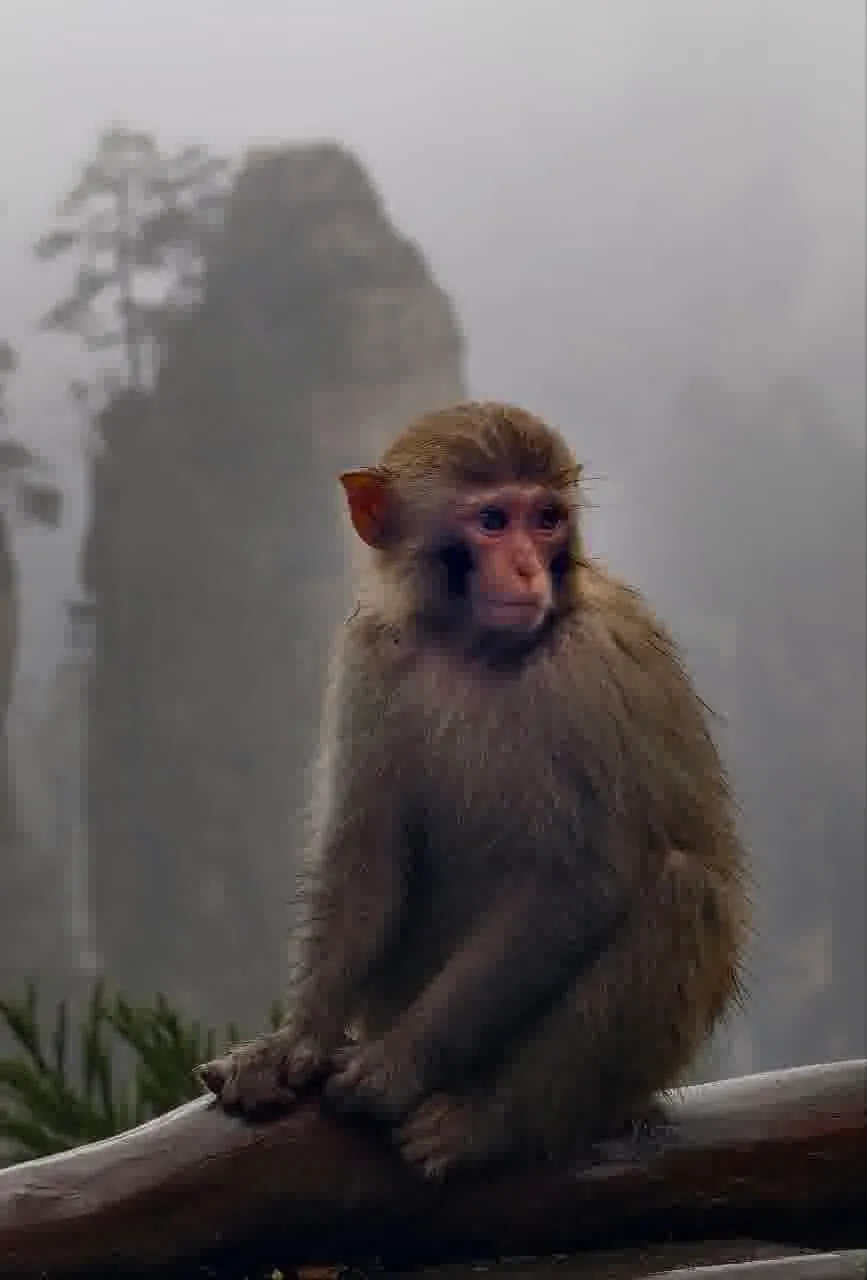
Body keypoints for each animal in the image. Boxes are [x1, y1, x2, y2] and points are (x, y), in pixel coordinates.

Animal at [197, 400, 749, 1179]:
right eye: (492, 521)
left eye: (546, 519)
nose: (525, 566)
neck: (469, 644)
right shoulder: (371, 651)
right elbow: (363, 860)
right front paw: (295, 1040)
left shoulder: (582, 671)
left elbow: (577, 880)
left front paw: (400, 1065)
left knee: (681, 889)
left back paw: (496, 1124)